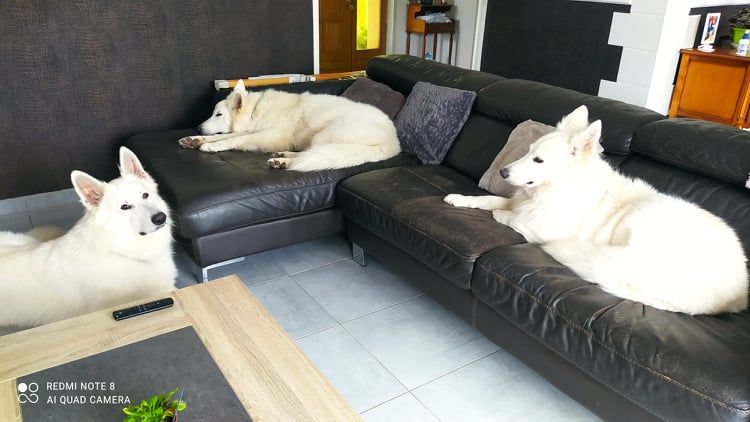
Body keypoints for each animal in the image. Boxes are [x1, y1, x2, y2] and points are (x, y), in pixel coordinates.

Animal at [177, 80, 401, 171]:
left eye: (219, 114)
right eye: (213, 113)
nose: (197, 128)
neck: (255, 110)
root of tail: (394, 142)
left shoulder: (269, 135)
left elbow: (237, 139)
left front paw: (210, 146)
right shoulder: (254, 130)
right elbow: (223, 135)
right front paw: (195, 140)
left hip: (324, 136)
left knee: (311, 155)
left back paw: (283, 161)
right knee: (307, 153)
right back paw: (282, 157)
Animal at [445, 106, 748, 315]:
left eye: (538, 160)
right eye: (528, 150)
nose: (503, 172)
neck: (557, 189)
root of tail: (738, 292)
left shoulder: (542, 225)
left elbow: (510, 216)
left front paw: (501, 215)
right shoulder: (524, 201)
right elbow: (490, 200)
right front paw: (460, 199)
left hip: (642, 221)